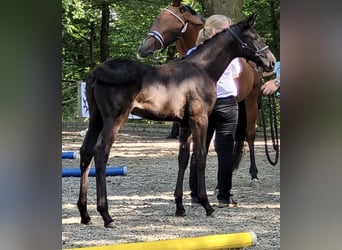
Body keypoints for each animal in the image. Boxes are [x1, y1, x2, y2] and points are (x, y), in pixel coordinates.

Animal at [136, 2, 264, 182]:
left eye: (169, 21)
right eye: (157, 19)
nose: (143, 49)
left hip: (250, 100)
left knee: (249, 134)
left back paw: (253, 174)